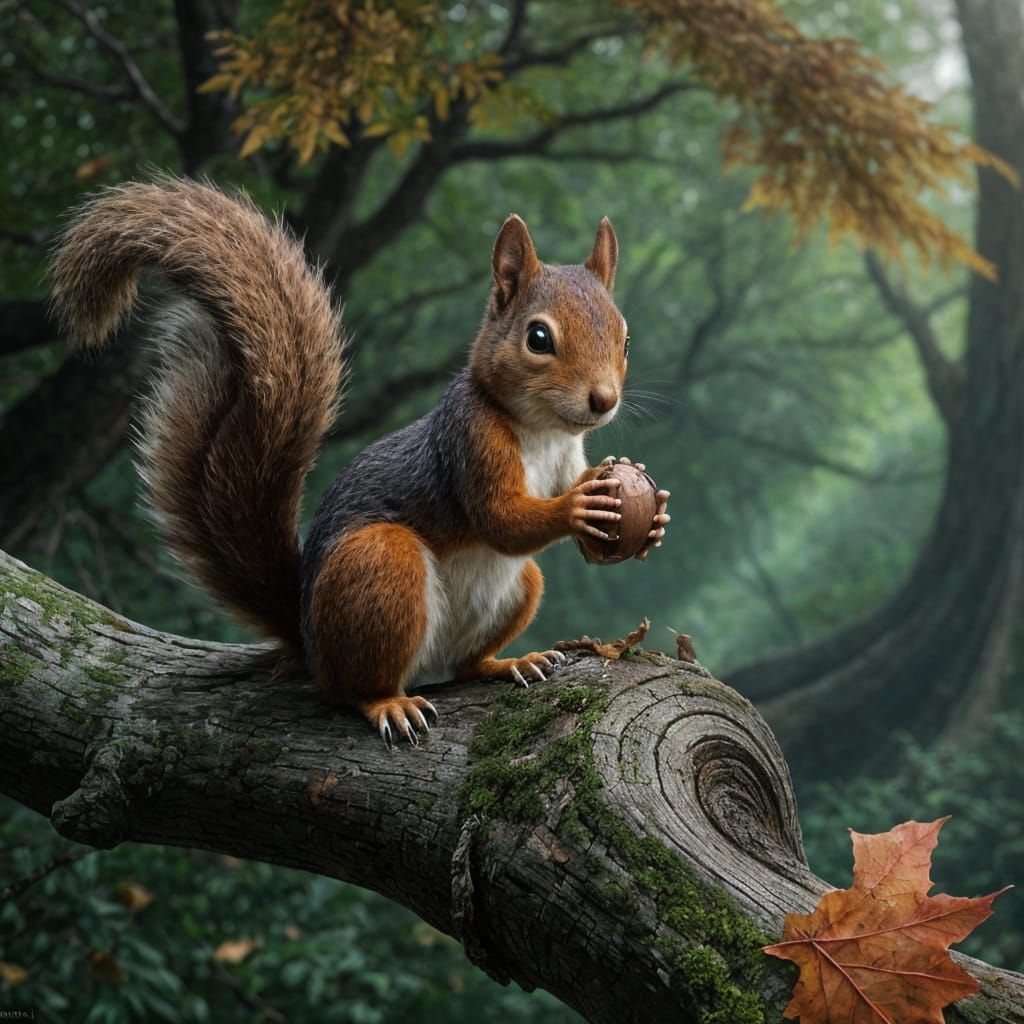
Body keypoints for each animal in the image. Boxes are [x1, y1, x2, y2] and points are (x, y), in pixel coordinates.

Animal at [50, 177, 670, 745]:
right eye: (538, 338)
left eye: (625, 338)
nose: (603, 400)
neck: (541, 431)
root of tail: (306, 634)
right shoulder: (468, 443)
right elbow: (501, 518)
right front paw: (577, 507)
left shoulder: (567, 452)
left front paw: (651, 509)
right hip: (377, 567)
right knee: (351, 688)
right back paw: (388, 703)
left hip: (519, 589)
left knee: (466, 663)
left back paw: (508, 663)